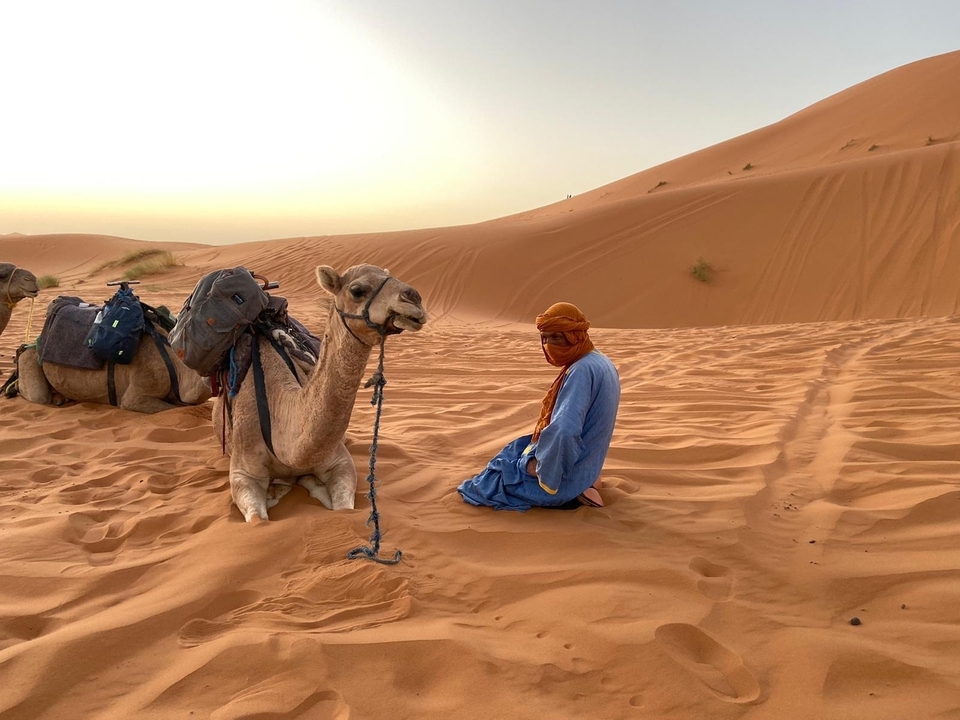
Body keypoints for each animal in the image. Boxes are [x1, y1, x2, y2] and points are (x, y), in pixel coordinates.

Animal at [217, 264, 426, 522]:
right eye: (357, 290)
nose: (413, 298)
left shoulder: (340, 461)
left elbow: (344, 508)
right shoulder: (242, 472)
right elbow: (258, 519)